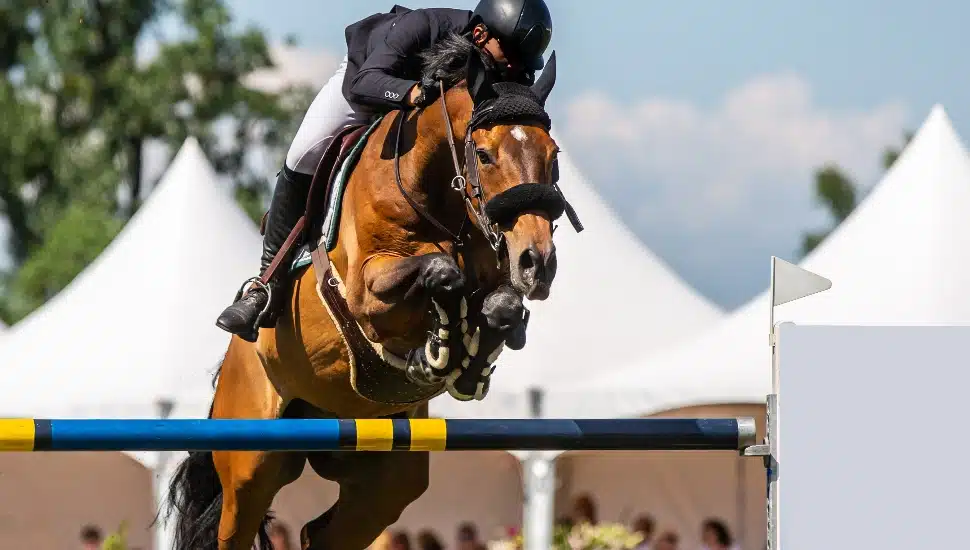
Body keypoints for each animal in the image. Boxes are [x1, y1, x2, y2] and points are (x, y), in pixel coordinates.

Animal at [166, 35, 579, 550]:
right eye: (483, 155)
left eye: (553, 156)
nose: (536, 263)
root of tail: (229, 366)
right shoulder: (366, 293)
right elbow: (441, 271)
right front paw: (439, 348)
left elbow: (502, 305)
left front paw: (470, 360)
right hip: (251, 464)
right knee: (238, 524)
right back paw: (251, 306)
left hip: (386, 479)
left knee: (323, 533)